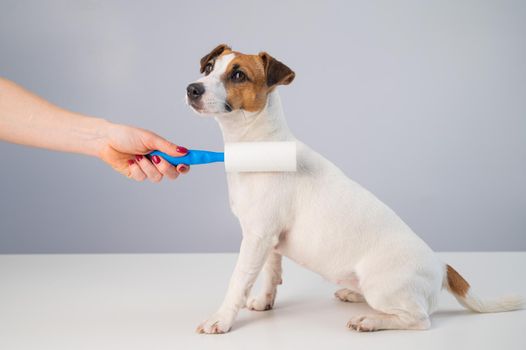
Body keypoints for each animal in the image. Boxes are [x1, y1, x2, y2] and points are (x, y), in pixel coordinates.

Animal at [186, 44, 524, 334]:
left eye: (238, 75)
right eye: (210, 68)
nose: (192, 88)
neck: (259, 146)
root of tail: (441, 266)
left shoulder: (256, 237)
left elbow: (238, 281)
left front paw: (221, 320)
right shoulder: (269, 239)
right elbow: (271, 274)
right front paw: (265, 303)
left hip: (383, 287)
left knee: (418, 319)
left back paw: (371, 321)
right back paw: (354, 295)